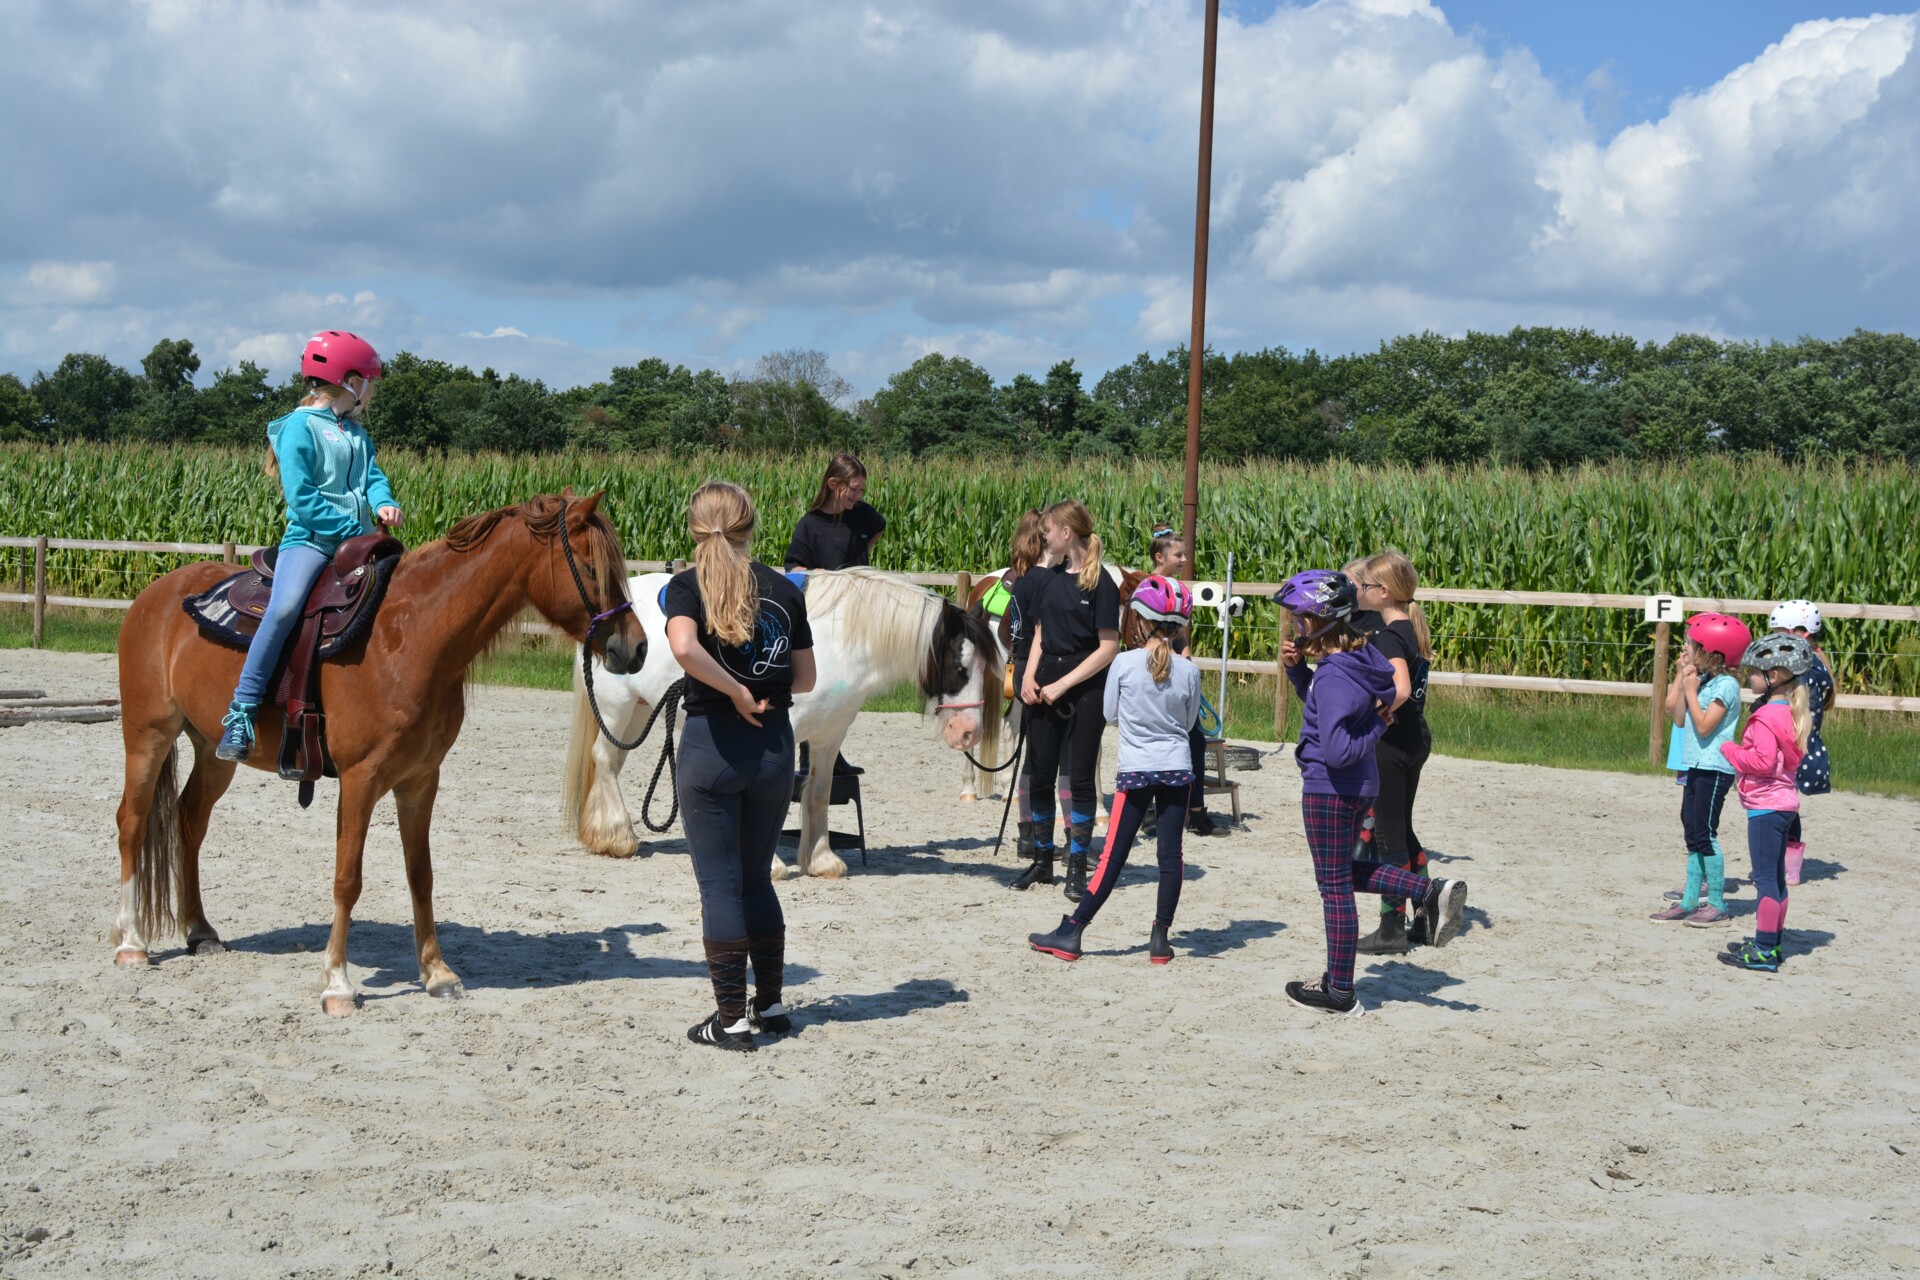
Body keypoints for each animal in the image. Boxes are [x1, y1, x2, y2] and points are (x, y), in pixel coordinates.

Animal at [112, 485, 645, 1013]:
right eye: (592, 568)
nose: (636, 649)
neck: (408, 637)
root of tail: (154, 595)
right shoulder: (360, 778)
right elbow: (348, 878)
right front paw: (337, 983)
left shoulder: (420, 779)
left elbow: (420, 874)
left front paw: (437, 973)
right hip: (147, 736)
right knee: (132, 823)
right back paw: (131, 941)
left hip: (213, 752)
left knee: (189, 821)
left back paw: (200, 932)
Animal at [560, 571, 998, 882]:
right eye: (959, 666)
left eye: (985, 668)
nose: (969, 733)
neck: (834, 644)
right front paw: (770, 866)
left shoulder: (828, 736)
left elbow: (818, 794)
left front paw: (821, 861)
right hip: (616, 709)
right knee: (603, 760)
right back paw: (619, 836)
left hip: (637, 711)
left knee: (610, 764)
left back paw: (604, 836)